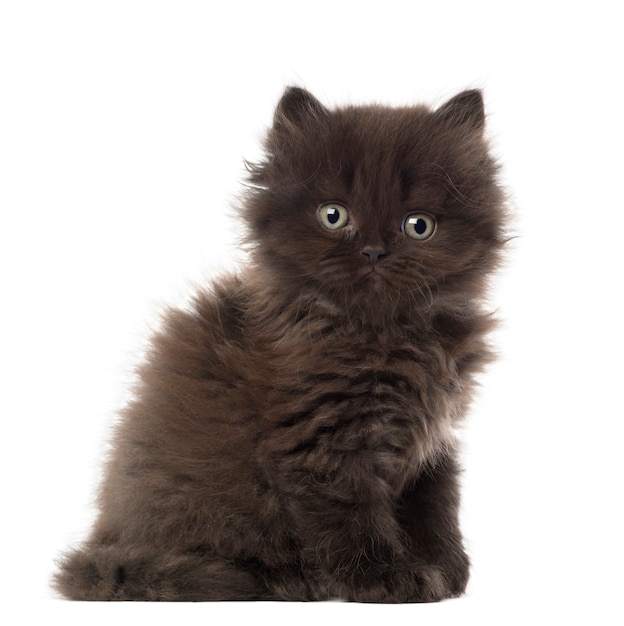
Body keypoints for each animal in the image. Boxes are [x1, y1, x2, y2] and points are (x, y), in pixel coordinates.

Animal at [54, 86, 508, 600]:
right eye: (333, 215)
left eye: (418, 225)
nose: (373, 252)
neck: (381, 334)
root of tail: (104, 542)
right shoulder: (322, 441)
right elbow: (354, 516)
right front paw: (388, 578)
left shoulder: (435, 438)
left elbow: (436, 505)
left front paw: (447, 568)